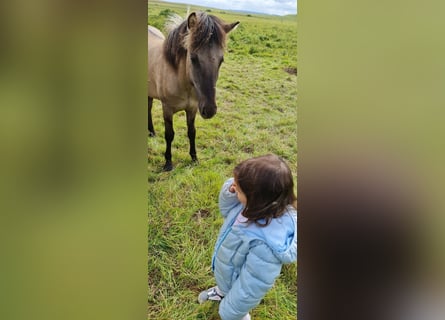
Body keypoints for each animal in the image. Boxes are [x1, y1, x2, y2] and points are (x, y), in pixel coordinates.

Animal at [147, 12, 238, 171]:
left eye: (221, 60)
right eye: (193, 58)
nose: (210, 110)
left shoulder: (193, 108)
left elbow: (192, 132)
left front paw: (194, 158)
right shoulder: (167, 109)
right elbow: (169, 134)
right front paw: (168, 162)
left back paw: (152, 132)